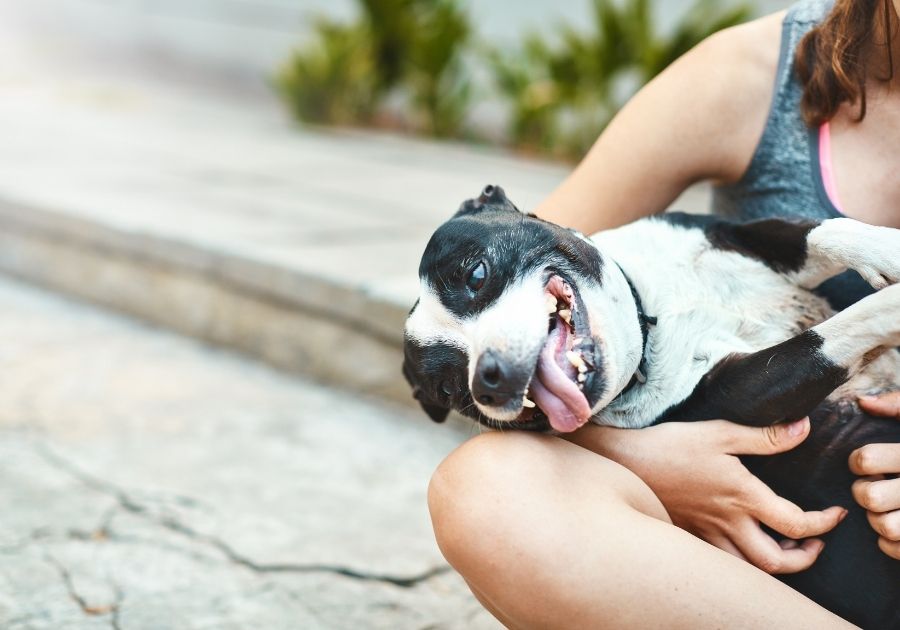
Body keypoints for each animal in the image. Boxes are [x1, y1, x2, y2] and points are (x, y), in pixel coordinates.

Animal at [404, 185, 900, 628]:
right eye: (450, 389)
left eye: (476, 275)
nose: (485, 382)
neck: (651, 317)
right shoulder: (747, 389)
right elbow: (832, 335)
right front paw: (889, 305)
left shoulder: (735, 235)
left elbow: (821, 230)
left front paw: (887, 252)